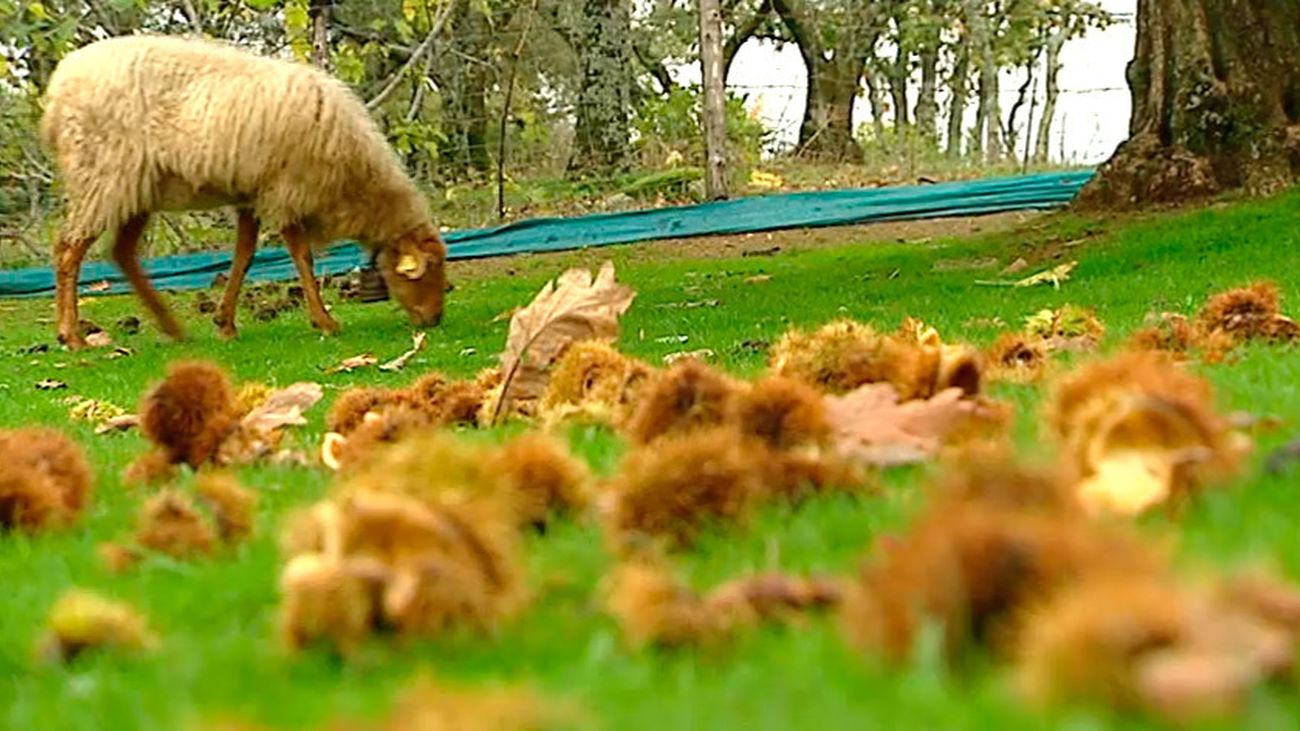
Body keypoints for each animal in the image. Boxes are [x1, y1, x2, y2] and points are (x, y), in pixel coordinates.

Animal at [39, 34, 447, 349]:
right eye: (428, 271)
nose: (435, 320)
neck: (357, 180)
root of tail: (57, 91)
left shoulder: (253, 194)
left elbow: (244, 256)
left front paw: (225, 323)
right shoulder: (286, 191)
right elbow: (301, 257)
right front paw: (325, 321)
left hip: (137, 188)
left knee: (122, 253)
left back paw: (171, 328)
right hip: (103, 177)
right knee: (67, 250)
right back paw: (71, 336)